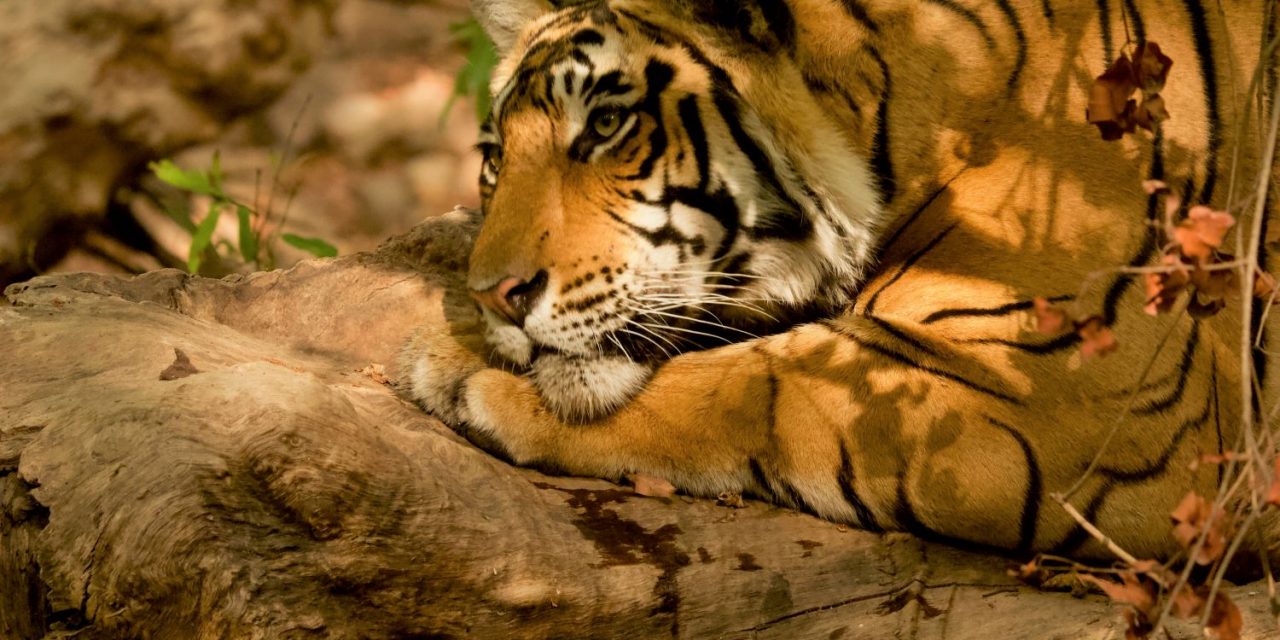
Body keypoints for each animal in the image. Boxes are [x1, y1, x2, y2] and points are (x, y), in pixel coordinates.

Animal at [402, 0, 1280, 563]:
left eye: (608, 127)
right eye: (495, 158)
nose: (494, 298)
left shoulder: (1090, 398)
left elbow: (763, 385)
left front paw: (462, 372)